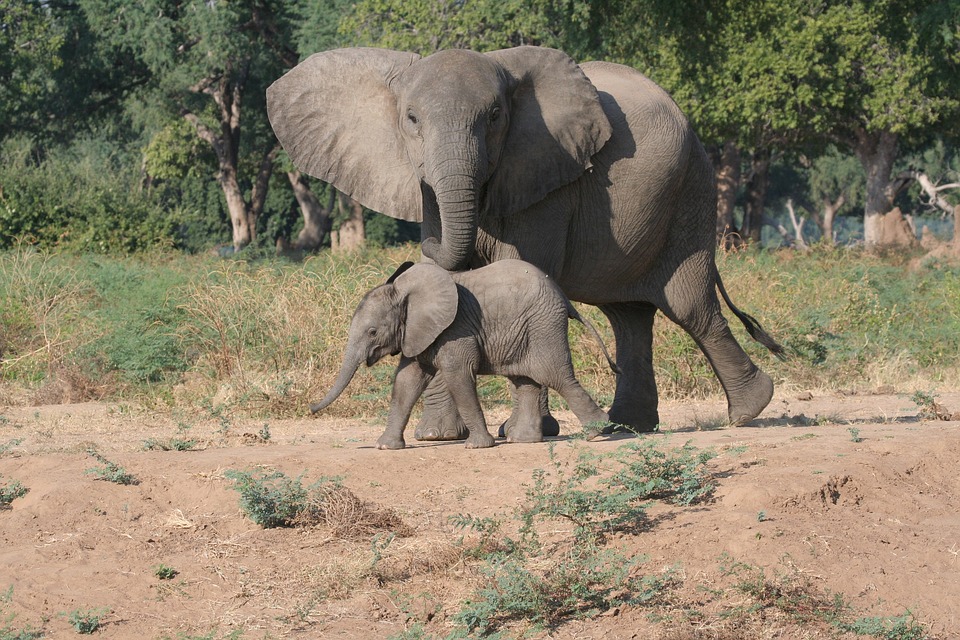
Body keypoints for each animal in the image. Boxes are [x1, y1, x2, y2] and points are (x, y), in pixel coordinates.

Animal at [309, 259, 620, 449]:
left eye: (373, 332)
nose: (311, 407)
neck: (404, 292)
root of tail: (564, 296)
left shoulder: (455, 328)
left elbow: (458, 375)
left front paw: (478, 446)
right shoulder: (418, 333)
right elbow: (406, 382)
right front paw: (385, 446)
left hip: (544, 326)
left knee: (557, 377)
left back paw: (598, 432)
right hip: (524, 332)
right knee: (526, 380)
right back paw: (522, 441)